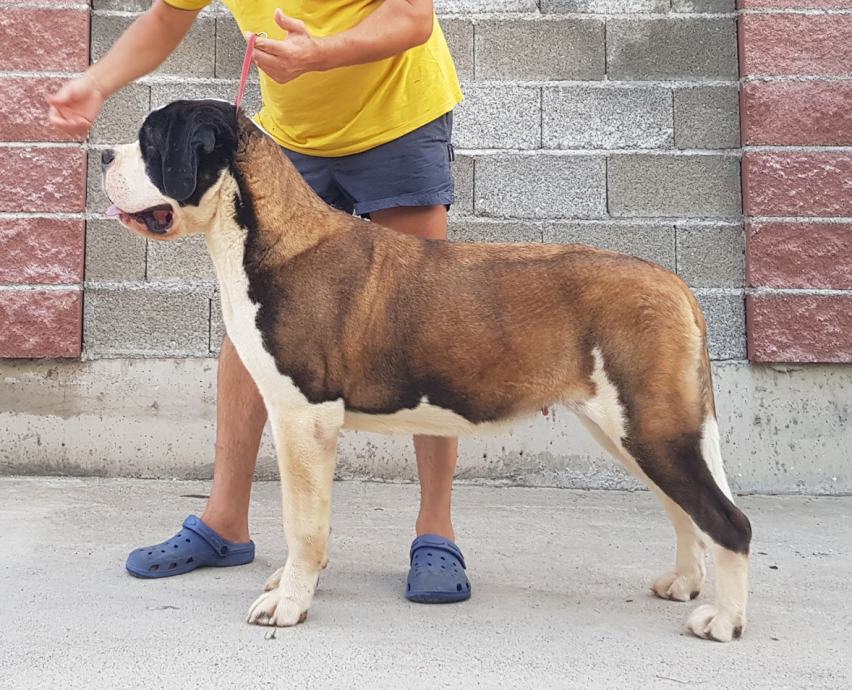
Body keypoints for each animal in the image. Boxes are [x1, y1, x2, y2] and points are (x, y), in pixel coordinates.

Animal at [102, 99, 751, 642]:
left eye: (151, 140)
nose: (105, 154)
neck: (267, 235)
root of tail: (673, 283)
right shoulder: (294, 423)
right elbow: (302, 516)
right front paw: (291, 583)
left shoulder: (306, 420)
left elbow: (302, 522)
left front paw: (289, 603)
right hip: (633, 430)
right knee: (684, 510)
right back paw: (684, 582)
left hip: (651, 430)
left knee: (727, 520)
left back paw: (722, 620)